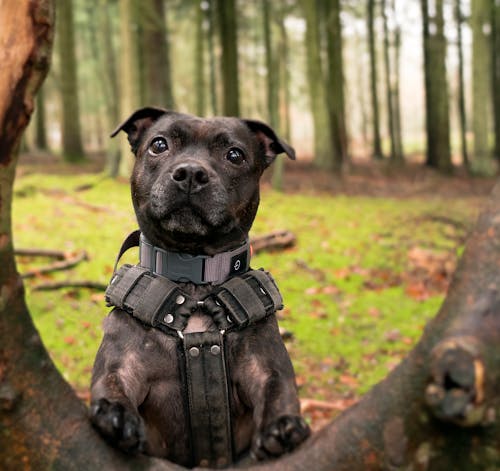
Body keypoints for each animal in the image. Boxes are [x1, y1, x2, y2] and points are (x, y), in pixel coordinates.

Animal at [90, 109, 308, 468]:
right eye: (159, 144)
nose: (191, 172)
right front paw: (115, 413)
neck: (194, 277)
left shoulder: (264, 366)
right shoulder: (124, 363)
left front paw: (282, 425)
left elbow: (279, 389)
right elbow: (111, 381)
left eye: (235, 155)